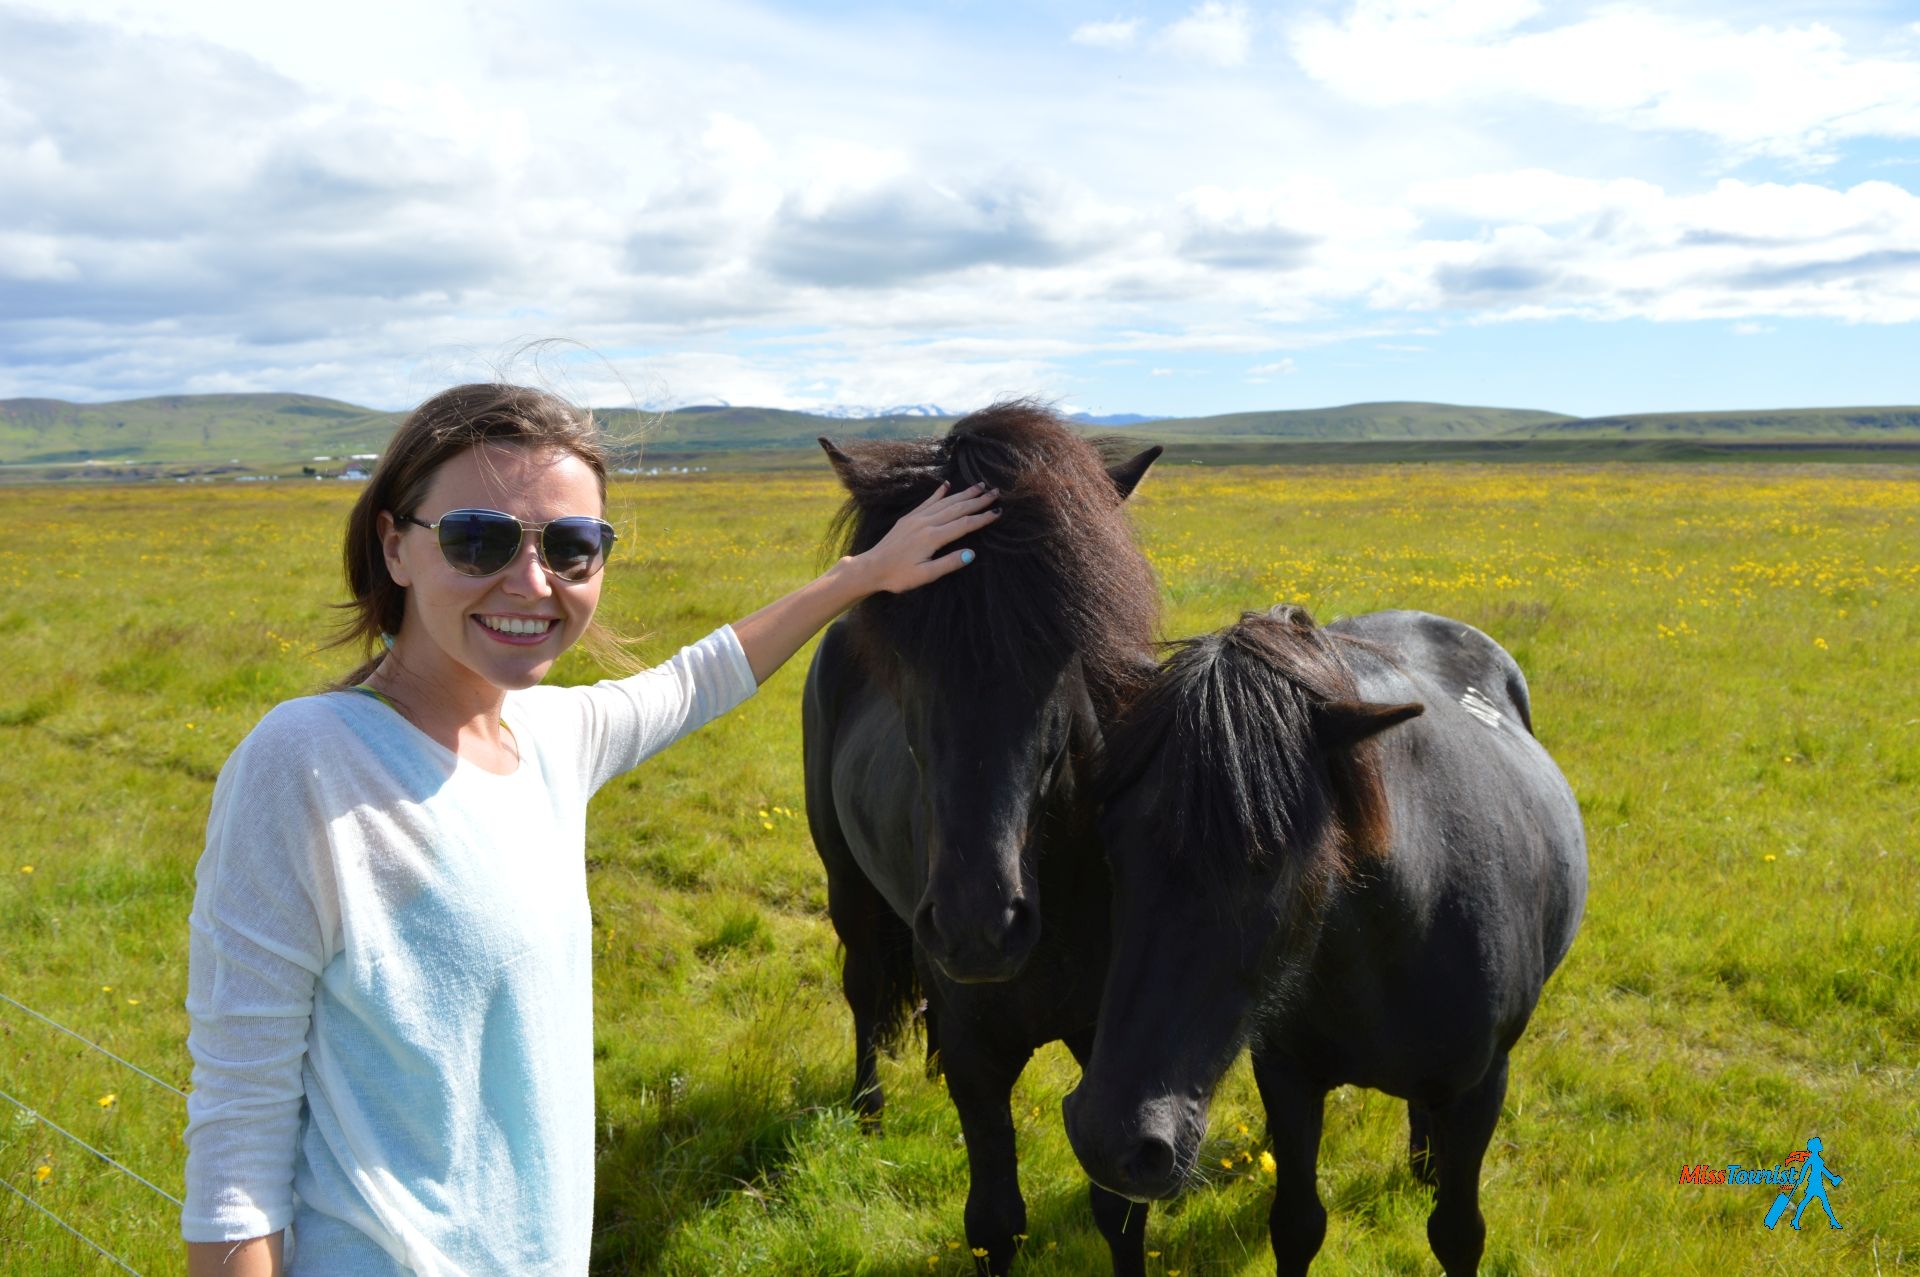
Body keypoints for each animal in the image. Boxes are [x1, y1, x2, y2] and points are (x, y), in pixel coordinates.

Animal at [802, 401, 1159, 1275]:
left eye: (1067, 644)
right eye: (901, 651)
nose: (978, 928)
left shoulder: (1107, 1041)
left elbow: (1119, 1210)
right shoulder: (978, 1053)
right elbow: (994, 1218)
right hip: (849, 891)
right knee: (865, 988)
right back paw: (868, 1106)